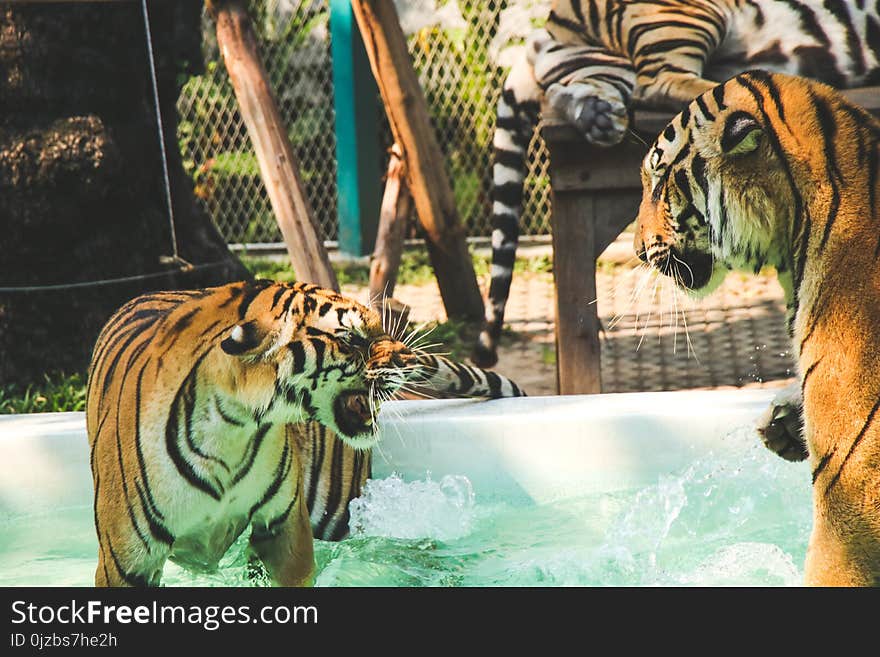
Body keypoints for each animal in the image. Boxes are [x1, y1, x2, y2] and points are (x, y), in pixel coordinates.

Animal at [84, 280, 524, 588]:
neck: (231, 429)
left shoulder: (283, 526)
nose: (407, 356)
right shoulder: (127, 562)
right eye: (351, 338)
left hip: (338, 506)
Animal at [474, 0, 880, 366]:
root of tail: (546, 27)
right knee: (659, 84)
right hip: (678, 17)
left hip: (600, 66)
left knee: (572, 91)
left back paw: (600, 117)